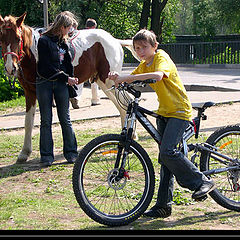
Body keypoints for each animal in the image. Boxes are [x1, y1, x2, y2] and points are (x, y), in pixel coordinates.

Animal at [0, 12, 135, 163]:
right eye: (1, 39)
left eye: (18, 38)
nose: (10, 68)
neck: (35, 55)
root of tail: (114, 41)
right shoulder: (29, 92)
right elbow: (28, 122)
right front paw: (24, 152)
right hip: (103, 82)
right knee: (122, 106)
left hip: (110, 81)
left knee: (125, 103)